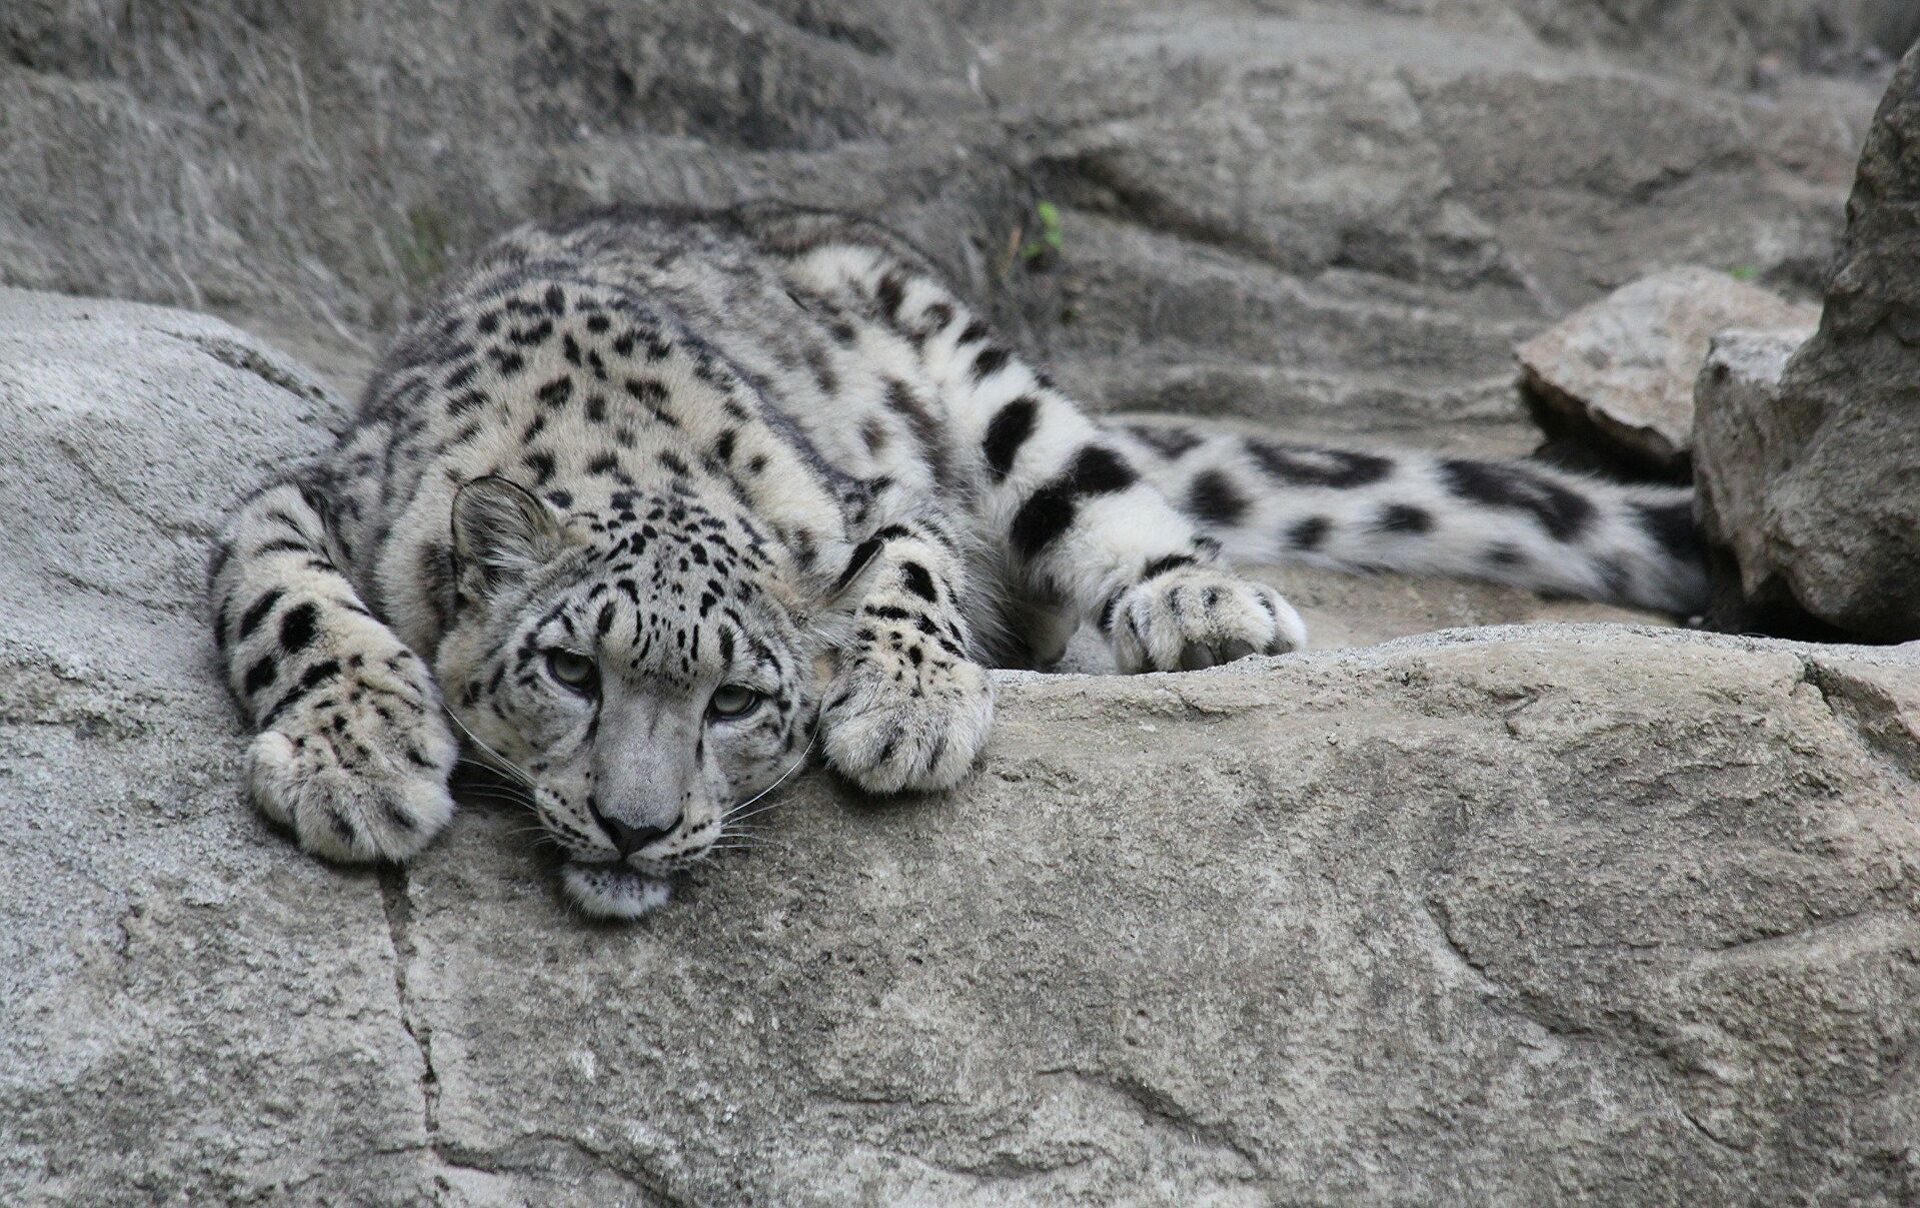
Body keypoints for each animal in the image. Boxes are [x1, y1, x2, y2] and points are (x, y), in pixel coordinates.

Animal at [214, 202, 1712, 918]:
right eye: (572, 669)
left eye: (737, 699)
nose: (636, 824)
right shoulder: (299, 502)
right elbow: (293, 607)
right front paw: (361, 762)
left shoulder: (874, 499)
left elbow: (909, 572)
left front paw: (909, 710)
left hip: (991, 380)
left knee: (1107, 498)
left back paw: (1193, 607)